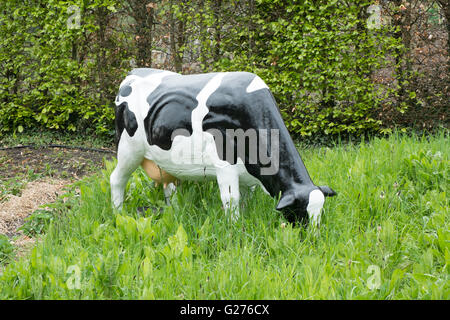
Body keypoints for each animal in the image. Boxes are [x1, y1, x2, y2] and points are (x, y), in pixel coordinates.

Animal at [110, 69, 336, 226]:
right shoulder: (224, 162)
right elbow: (231, 198)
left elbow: (245, 197)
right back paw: (118, 212)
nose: (313, 238)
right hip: (128, 149)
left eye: (321, 211)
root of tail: (134, 72)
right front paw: (234, 226)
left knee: (170, 185)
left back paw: (174, 209)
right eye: (301, 211)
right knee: (117, 179)